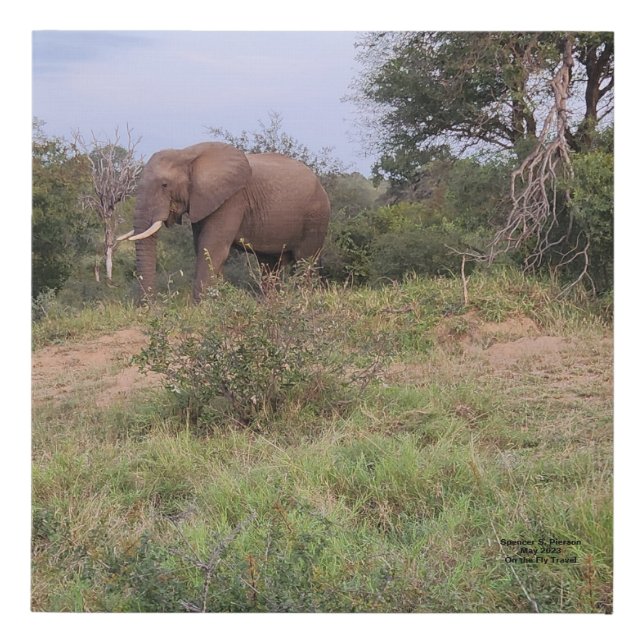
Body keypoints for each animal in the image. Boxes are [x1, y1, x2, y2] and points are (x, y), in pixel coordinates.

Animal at [118, 142, 331, 302]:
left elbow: (212, 248)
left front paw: (200, 308)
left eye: (164, 185)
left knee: (305, 261)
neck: (186, 154)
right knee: (269, 265)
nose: (150, 306)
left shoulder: (232, 199)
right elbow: (203, 248)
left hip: (316, 217)